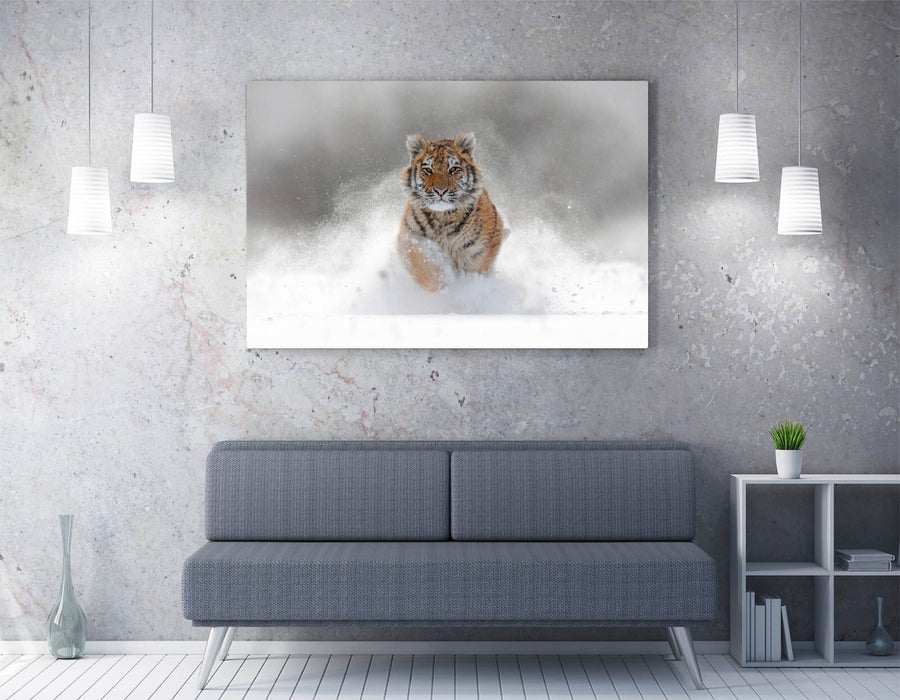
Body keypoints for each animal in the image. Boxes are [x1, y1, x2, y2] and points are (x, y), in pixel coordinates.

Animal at [397, 132, 508, 292]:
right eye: (428, 170)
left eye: (453, 169)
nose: (440, 190)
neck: (442, 217)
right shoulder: (409, 237)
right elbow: (422, 265)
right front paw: (441, 282)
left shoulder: (479, 252)